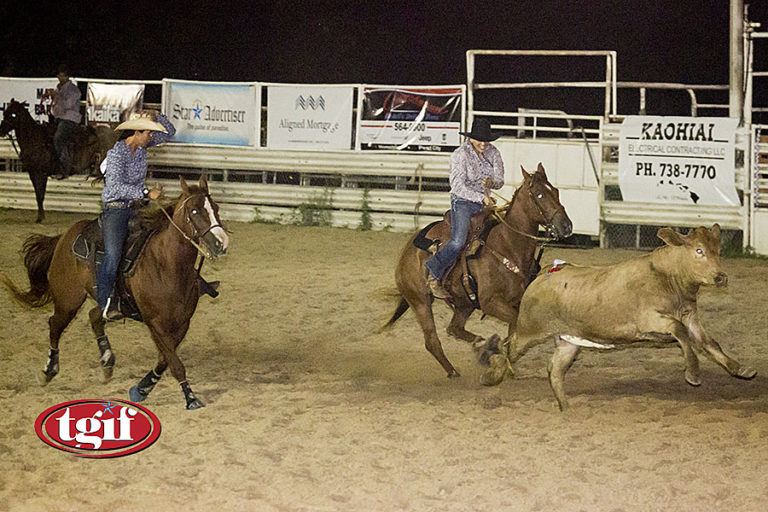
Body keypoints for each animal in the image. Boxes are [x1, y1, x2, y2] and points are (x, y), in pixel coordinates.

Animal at [1, 175, 230, 408]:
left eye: (216, 208)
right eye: (194, 210)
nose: (222, 243)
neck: (167, 265)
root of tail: (64, 237)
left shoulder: (182, 322)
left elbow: (165, 359)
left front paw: (141, 389)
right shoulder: (155, 323)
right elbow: (175, 363)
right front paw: (191, 398)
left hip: (107, 304)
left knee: (94, 316)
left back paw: (107, 362)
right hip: (68, 300)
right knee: (55, 325)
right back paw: (49, 370)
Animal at [382, 163, 568, 376]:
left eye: (556, 191)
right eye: (539, 195)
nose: (566, 226)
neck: (507, 245)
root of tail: (406, 251)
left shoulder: (516, 300)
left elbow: (513, 330)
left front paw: (505, 361)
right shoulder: (491, 302)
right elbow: (516, 325)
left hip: (464, 303)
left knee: (453, 328)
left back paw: (479, 344)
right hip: (420, 301)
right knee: (432, 340)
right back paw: (454, 371)